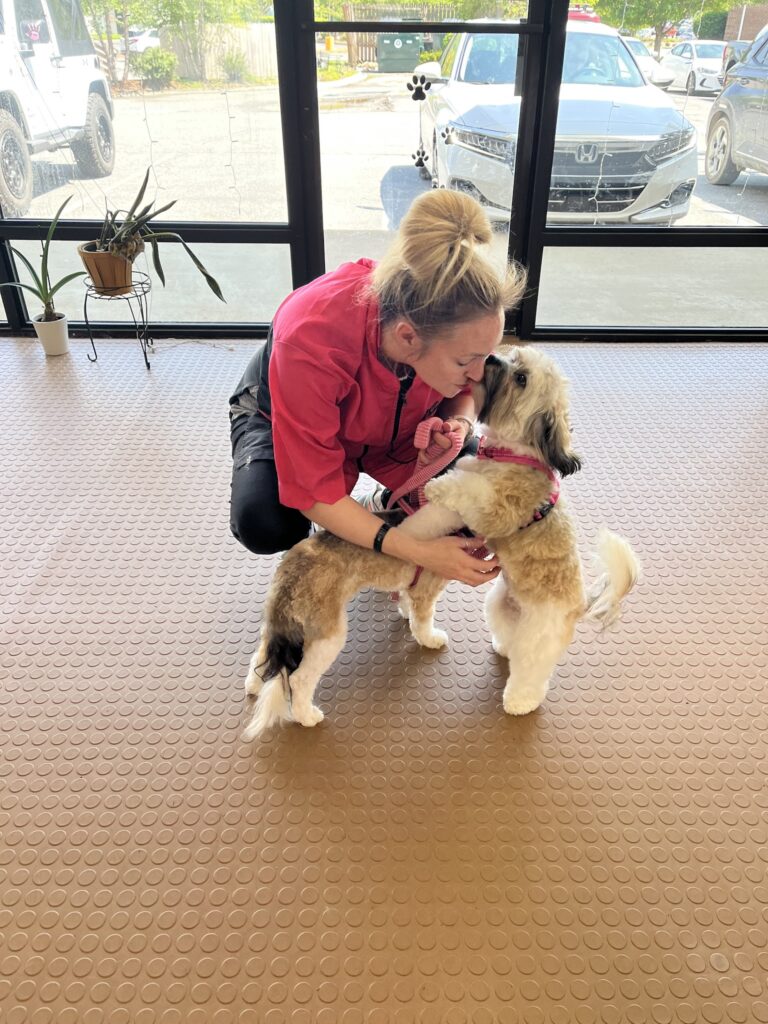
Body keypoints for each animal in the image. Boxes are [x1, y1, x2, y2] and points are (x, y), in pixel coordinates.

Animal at [243, 347, 640, 739]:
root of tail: (579, 602)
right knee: (292, 674)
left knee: (532, 668)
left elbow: (452, 507)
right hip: (328, 634)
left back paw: (519, 699)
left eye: (521, 378)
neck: (509, 453)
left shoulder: (492, 510)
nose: (491, 359)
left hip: (539, 628)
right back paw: (303, 713)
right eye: (514, 357)